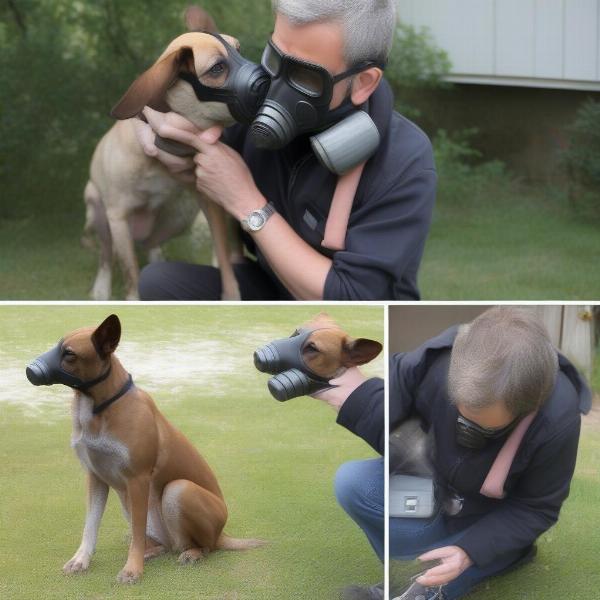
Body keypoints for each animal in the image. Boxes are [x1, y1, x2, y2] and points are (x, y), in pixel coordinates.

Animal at [81, 5, 243, 300]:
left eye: (240, 49)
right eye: (217, 68)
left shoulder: (211, 204)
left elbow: (224, 256)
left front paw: (231, 294)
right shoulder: (117, 216)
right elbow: (130, 272)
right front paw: (132, 298)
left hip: (182, 215)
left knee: (152, 243)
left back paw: (156, 258)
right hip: (97, 211)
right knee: (107, 254)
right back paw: (101, 286)